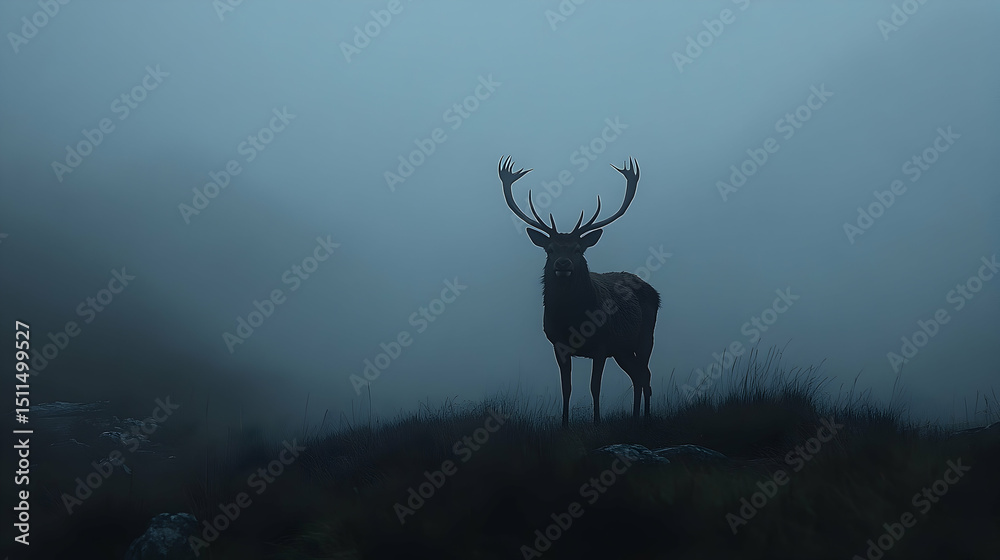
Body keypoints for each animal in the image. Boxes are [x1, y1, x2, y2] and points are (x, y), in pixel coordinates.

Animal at [499, 156, 661, 428]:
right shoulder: (558, 345)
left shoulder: (602, 345)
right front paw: (564, 424)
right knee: (637, 375)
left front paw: (596, 423)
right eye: (550, 249)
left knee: (645, 375)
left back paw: (647, 417)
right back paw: (636, 416)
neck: (572, 321)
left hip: (645, 335)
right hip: (623, 349)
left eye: (577, 249)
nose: (563, 264)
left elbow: (595, 387)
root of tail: (655, 292)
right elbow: (567, 387)